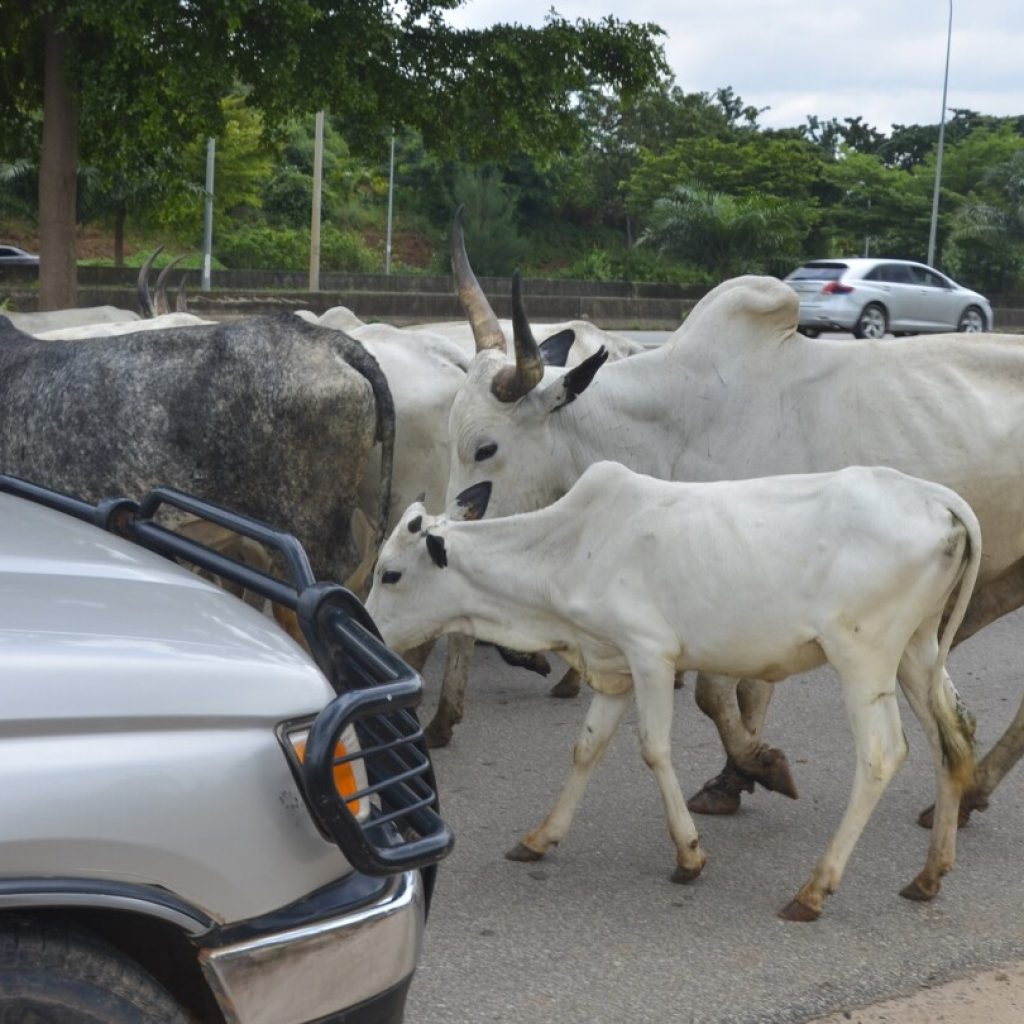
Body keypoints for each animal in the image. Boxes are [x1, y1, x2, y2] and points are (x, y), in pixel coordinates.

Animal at [368, 464, 983, 921]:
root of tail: (931, 495)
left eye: (391, 573)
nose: (370, 631)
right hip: (917, 649)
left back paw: (814, 889)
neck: (569, 549)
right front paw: (541, 837)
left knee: (882, 754)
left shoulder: (650, 655)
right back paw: (929, 874)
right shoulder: (613, 666)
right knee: (951, 740)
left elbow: (654, 749)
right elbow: (586, 749)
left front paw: (689, 855)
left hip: (862, 655)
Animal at [448, 220, 1024, 827]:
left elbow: (721, 693)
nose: (448, 534)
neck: (673, 422)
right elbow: (738, 693)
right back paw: (972, 790)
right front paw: (736, 775)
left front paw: (757, 766)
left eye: (485, 448)